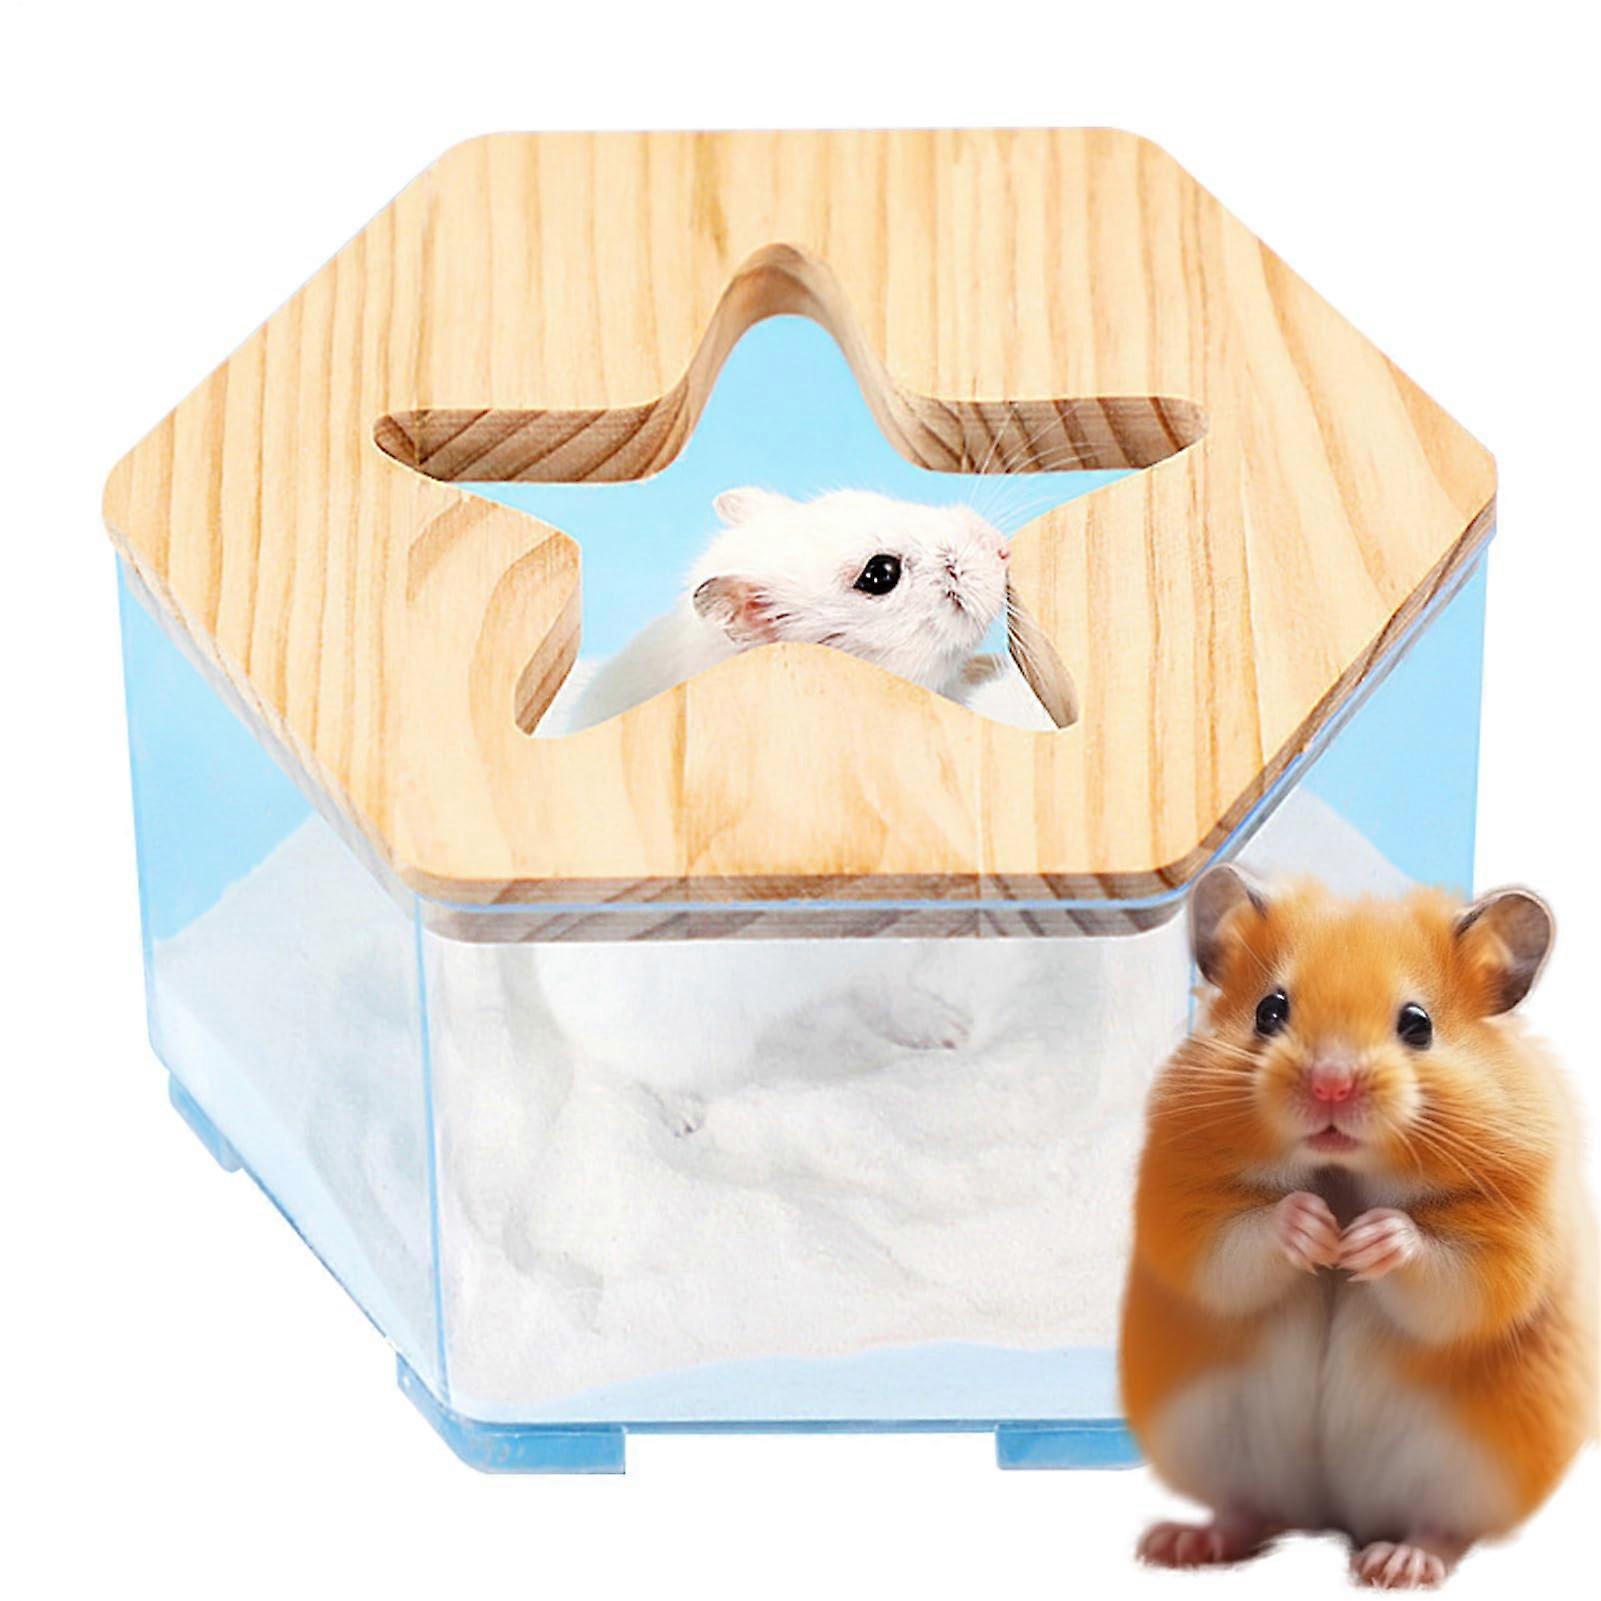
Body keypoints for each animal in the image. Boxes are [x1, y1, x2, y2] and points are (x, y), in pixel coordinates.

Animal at [1120, 867, 1596, 1588]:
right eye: (1269, 1010)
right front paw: (1316, 1231)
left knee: (1440, 1527)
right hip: (1212, 1438)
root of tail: (1332, 1514)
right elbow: (1233, 1247)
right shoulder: (1182, 1202)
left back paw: (1398, 1564)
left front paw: (1368, 1239)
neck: (1342, 1173)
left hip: (1466, 1469)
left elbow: (1454, 1277)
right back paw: (1179, 1543)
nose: (1331, 1084)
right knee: (1249, 1509)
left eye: (1417, 1025)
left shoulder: (1510, 1231)